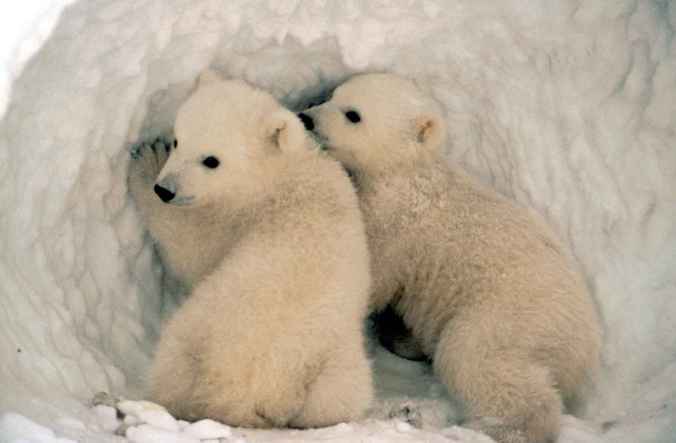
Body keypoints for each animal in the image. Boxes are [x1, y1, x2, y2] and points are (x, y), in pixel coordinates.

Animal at [131, 73, 374, 428]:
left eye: (211, 160)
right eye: (178, 140)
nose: (164, 189)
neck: (281, 173)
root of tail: (250, 394)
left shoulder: (234, 219)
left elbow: (192, 251)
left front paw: (146, 160)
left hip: (199, 332)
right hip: (334, 371)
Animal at [299, 73, 602, 443]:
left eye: (353, 114)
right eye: (331, 95)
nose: (307, 117)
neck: (407, 173)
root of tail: (585, 346)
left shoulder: (396, 222)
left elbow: (371, 274)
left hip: (512, 316)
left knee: (473, 357)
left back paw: (496, 427)